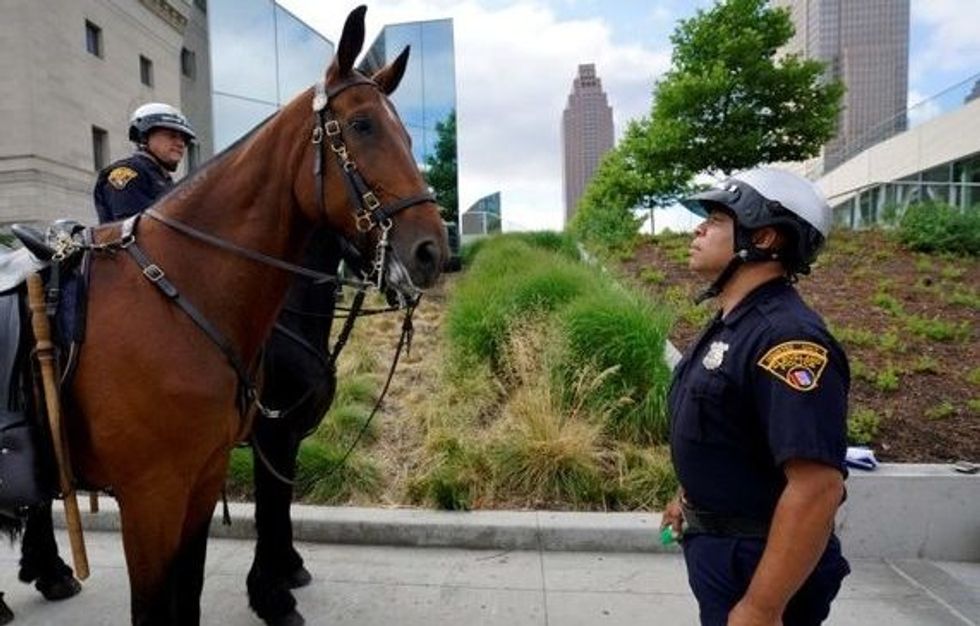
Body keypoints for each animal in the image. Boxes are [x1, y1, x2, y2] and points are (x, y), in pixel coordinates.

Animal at [61, 7, 444, 620]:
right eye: (363, 126)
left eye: (410, 136)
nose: (433, 250)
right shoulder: (267, 438)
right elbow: (271, 504)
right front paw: (270, 589)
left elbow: (279, 503)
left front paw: (285, 570)